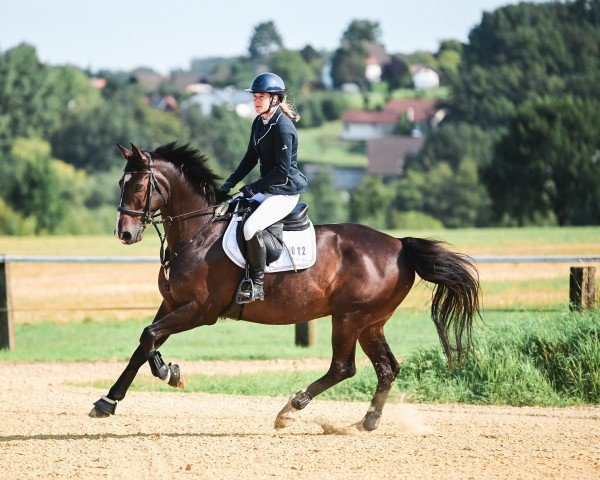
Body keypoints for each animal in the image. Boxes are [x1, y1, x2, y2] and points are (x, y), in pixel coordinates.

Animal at [89, 142, 480, 432]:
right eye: (121, 184)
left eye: (139, 186)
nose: (124, 234)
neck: (197, 233)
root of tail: (400, 245)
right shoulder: (172, 305)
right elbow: (143, 344)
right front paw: (108, 401)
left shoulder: (200, 311)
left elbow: (150, 336)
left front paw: (169, 373)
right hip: (371, 322)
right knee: (387, 368)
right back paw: (366, 421)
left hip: (349, 317)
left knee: (344, 368)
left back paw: (291, 408)